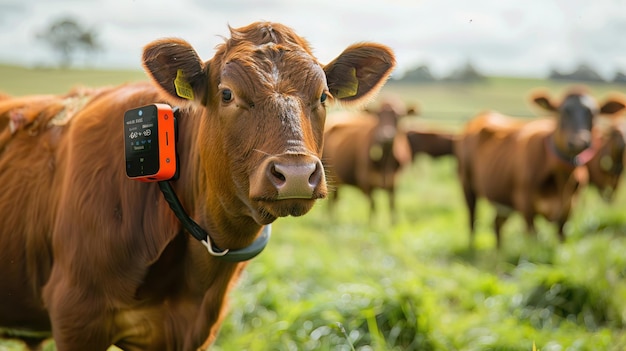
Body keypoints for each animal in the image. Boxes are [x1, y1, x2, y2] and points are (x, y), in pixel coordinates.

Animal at [454, 87, 624, 249]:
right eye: (562, 111)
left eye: (594, 113)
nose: (579, 142)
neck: (561, 179)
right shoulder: (525, 204)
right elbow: (533, 238)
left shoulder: (570, 207)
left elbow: (561, 238)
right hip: (467, 185)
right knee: (472, 219)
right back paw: (472, 248)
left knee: (497, 223)